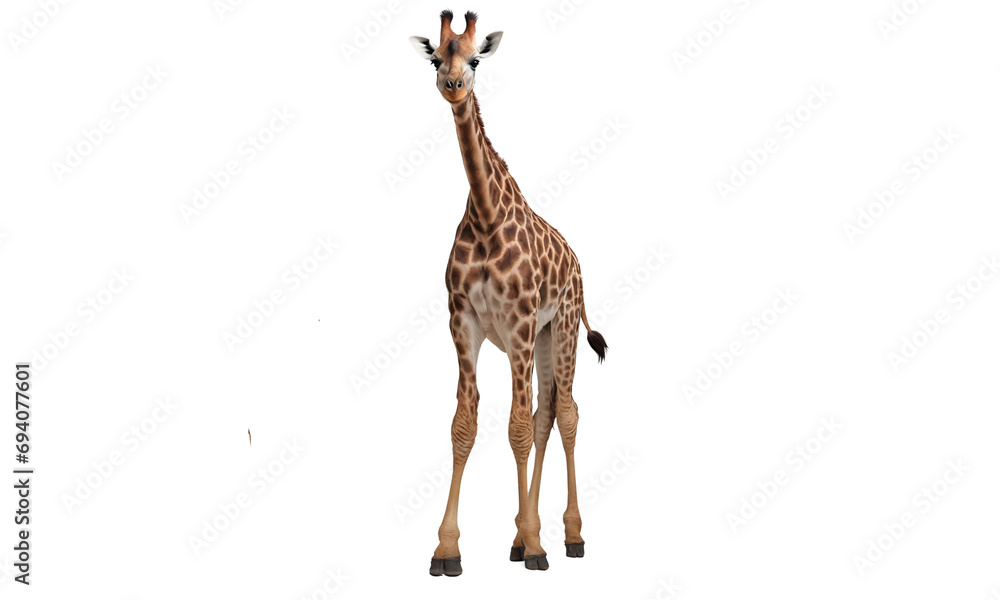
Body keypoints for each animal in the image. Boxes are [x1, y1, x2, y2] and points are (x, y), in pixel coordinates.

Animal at [410, 10, 608, 577]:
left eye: (476, 59)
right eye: (436, 58)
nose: (453, 86)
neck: (485, 214)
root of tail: (578, 264)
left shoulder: (518, 321)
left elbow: (516, 428)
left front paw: (537, 546)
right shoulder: (463, 321)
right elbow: (465, 424)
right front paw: (448, 550)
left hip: (562, 328)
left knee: (566, 414)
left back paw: (568, 536)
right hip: (541, 338)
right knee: (546, 415)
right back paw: (525, 535)